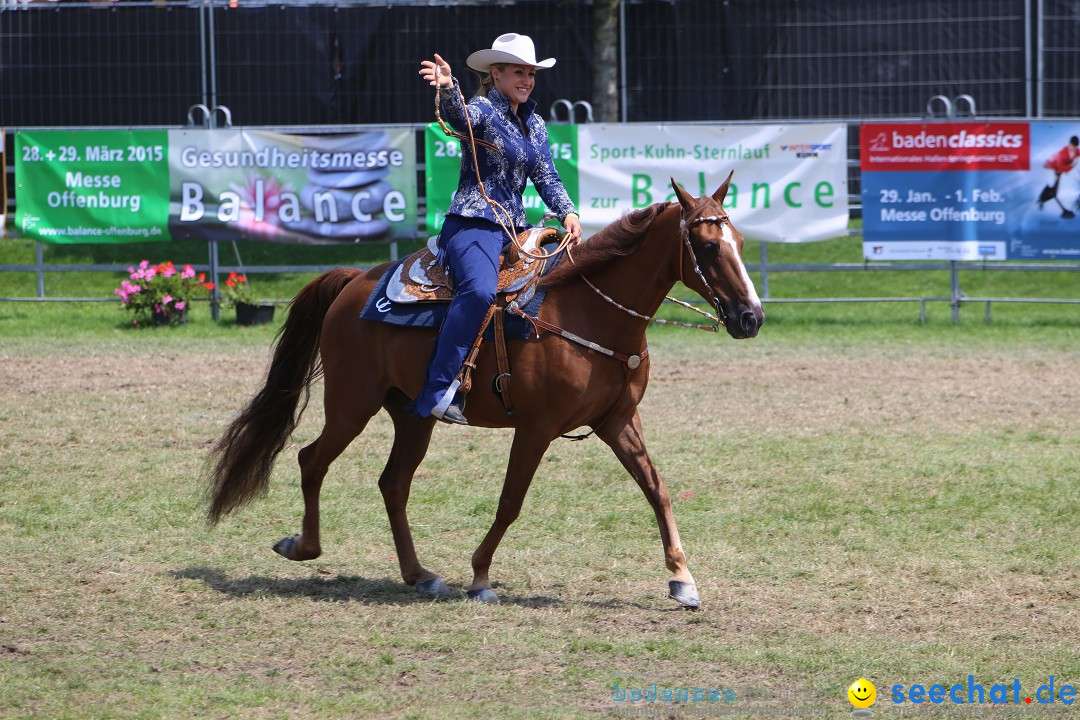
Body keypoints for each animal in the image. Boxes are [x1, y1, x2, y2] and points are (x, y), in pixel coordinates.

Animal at [203, 175, 760, 608]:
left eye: (740, 242)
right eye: (708, 246)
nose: (751, 317)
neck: (589, 312)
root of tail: (355, 281)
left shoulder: (617, 420)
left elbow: (656, 489)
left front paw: (682, 581)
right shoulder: (535, 429)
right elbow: (511, 501)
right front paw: (480, 575)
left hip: (412, 416)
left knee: (393, 483)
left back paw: (419, 574)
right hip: (350, 403)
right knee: (312, 459)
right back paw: (303, 547)